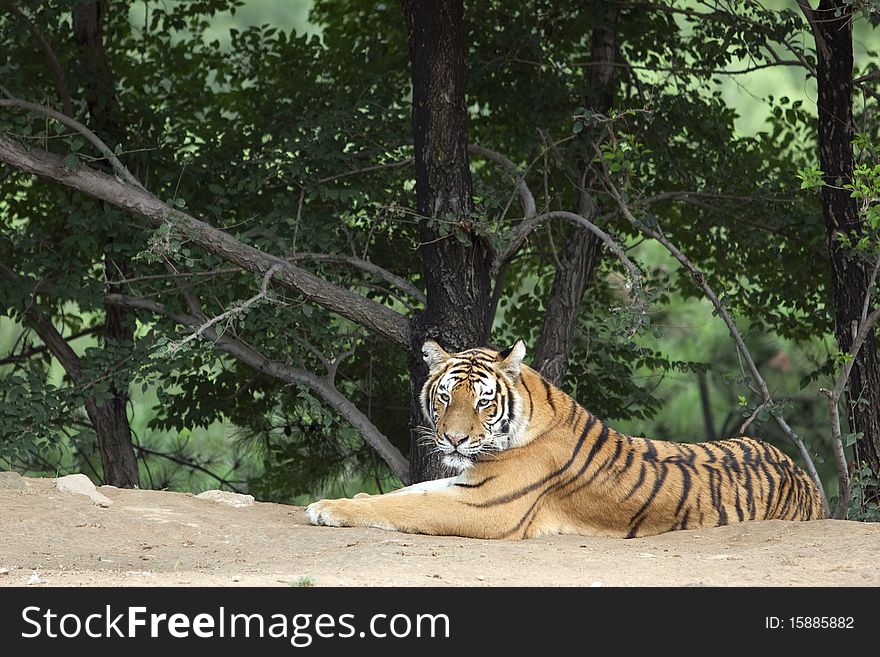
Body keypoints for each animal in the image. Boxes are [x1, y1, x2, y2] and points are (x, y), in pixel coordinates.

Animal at [306, 338, 828, 540]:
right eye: (445, 396)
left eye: (482, 402)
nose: (453, 440)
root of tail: (803, 475)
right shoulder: (467, 482)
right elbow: (407, 492)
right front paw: (355, 497)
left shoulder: (486, 504)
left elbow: (407, 506)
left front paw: (327, 507)